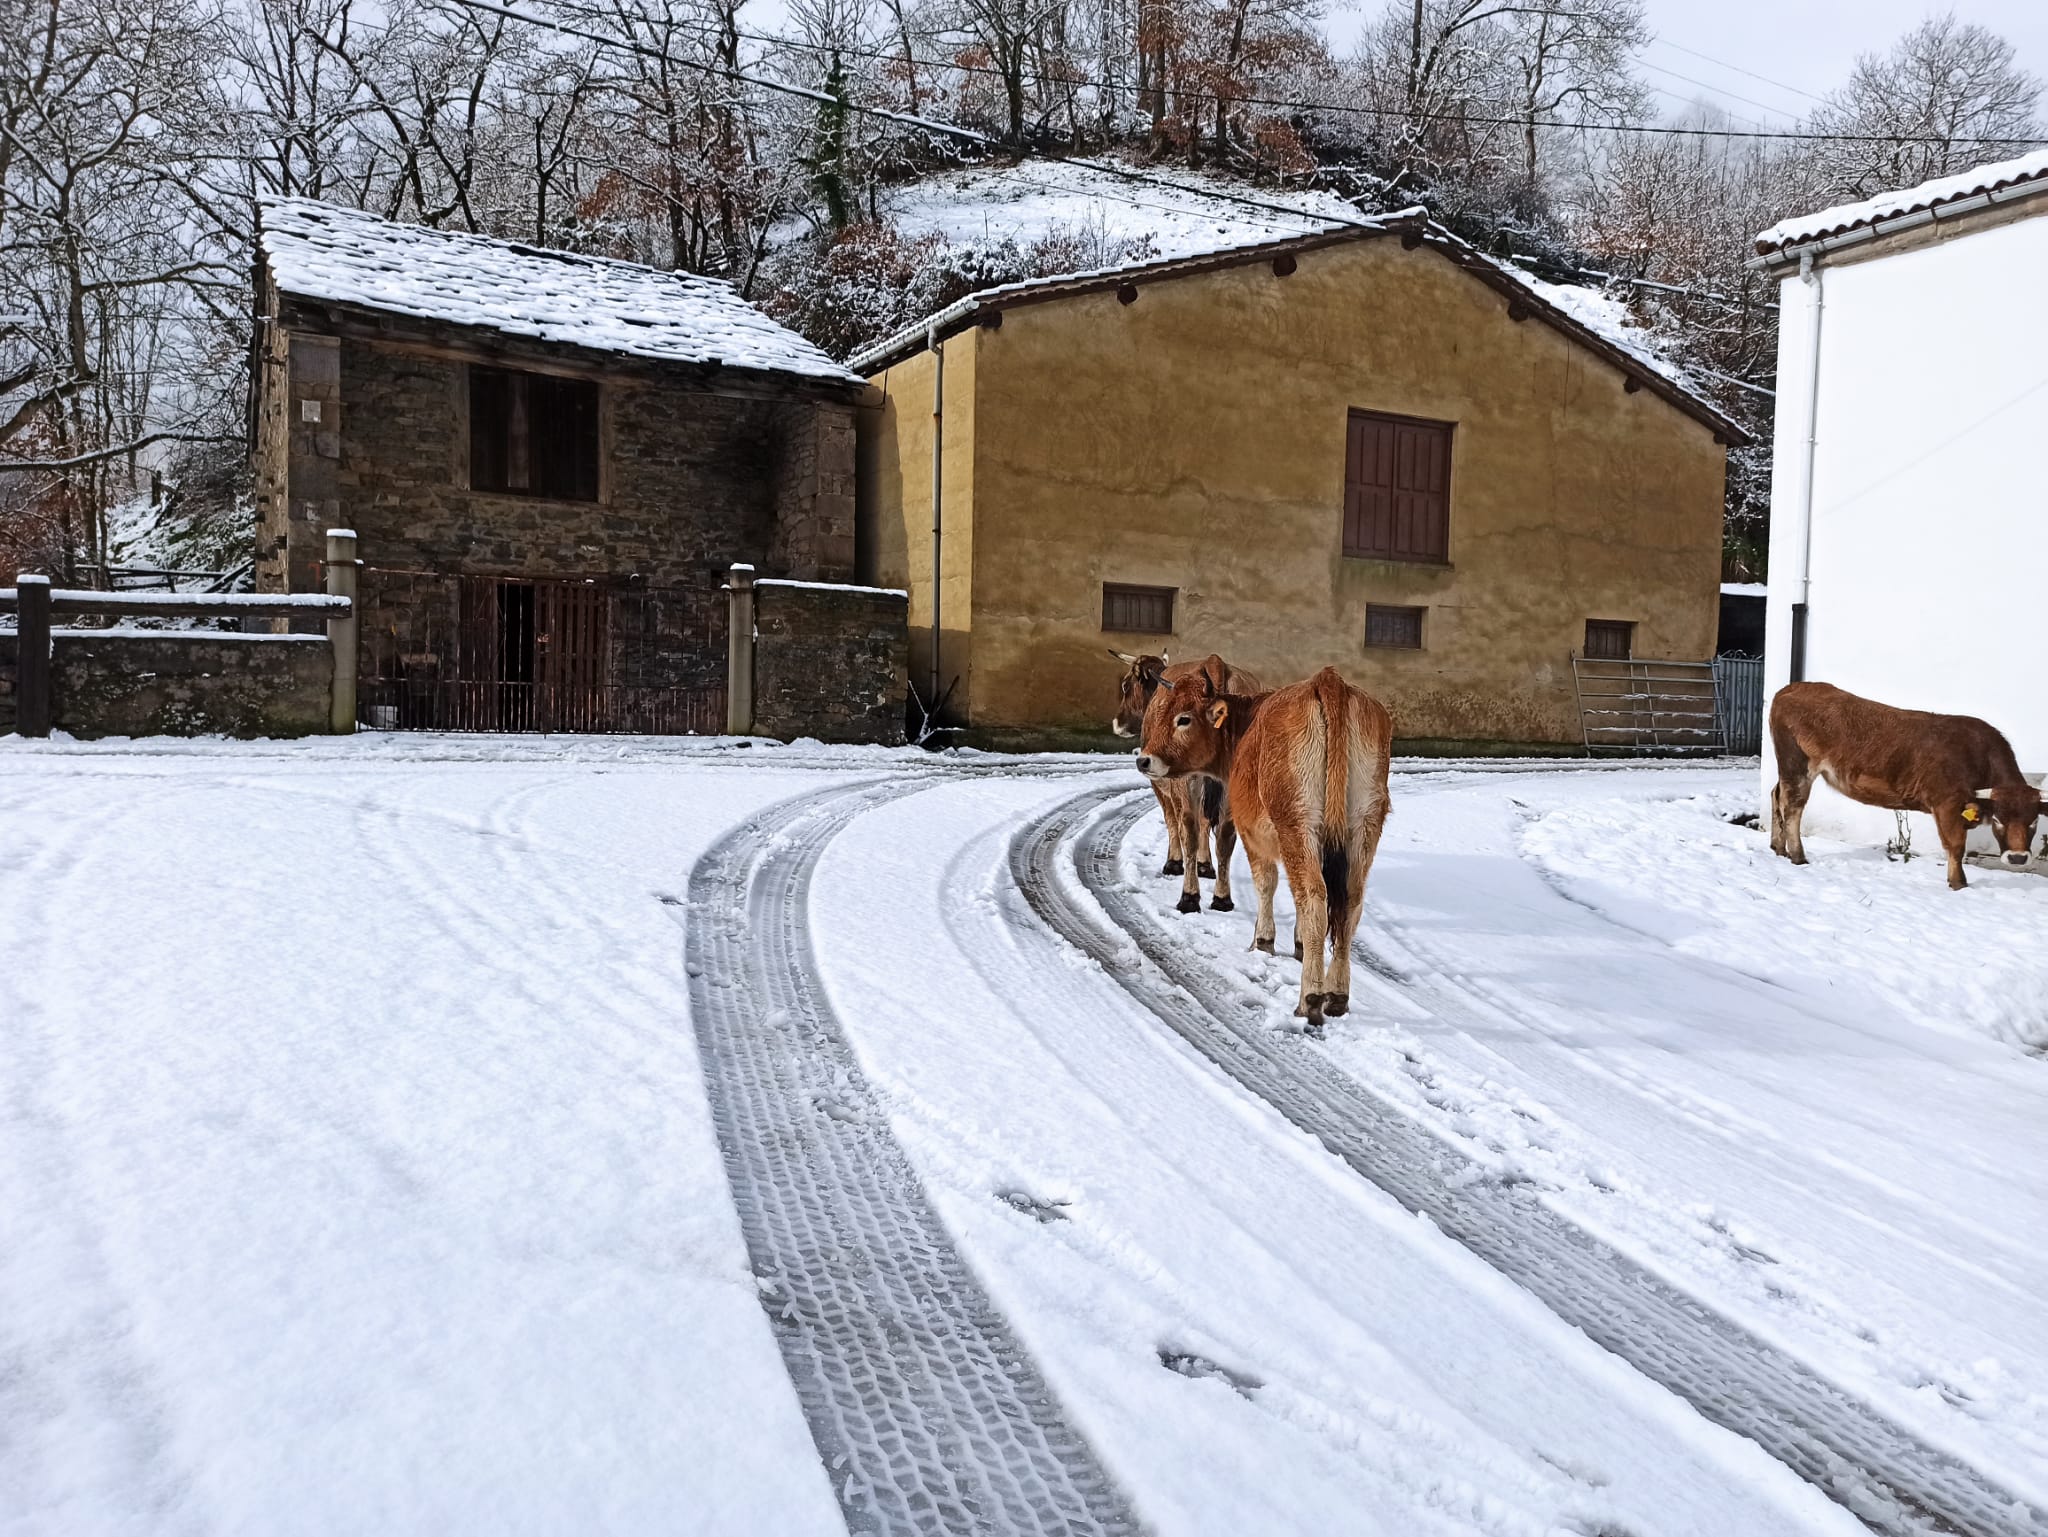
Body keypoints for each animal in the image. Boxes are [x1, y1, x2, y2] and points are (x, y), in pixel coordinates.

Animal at [1105, 643, 1261, 909]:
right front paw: (1205, 865)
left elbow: (1173, 819)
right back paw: (1222, 897)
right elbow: (1206, 821)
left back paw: (1189, 896)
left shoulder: (1160, 780)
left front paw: (1175, 862)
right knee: (1225, 833)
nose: (1117, 723)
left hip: (1186, 779)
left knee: (1189, 827)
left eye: (1125, 685)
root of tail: (1216, 664)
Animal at [1769, 684, 2039, 889]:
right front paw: (1958, 884)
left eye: (2034, 821)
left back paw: (1779, 848)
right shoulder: (1947, 803)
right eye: (1998, 820)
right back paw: (1798, 856)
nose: (2017, 858)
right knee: (1792, 807)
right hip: (1797, 764)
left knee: (1776, 795)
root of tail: (1792, 688)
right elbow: (1955, 846)